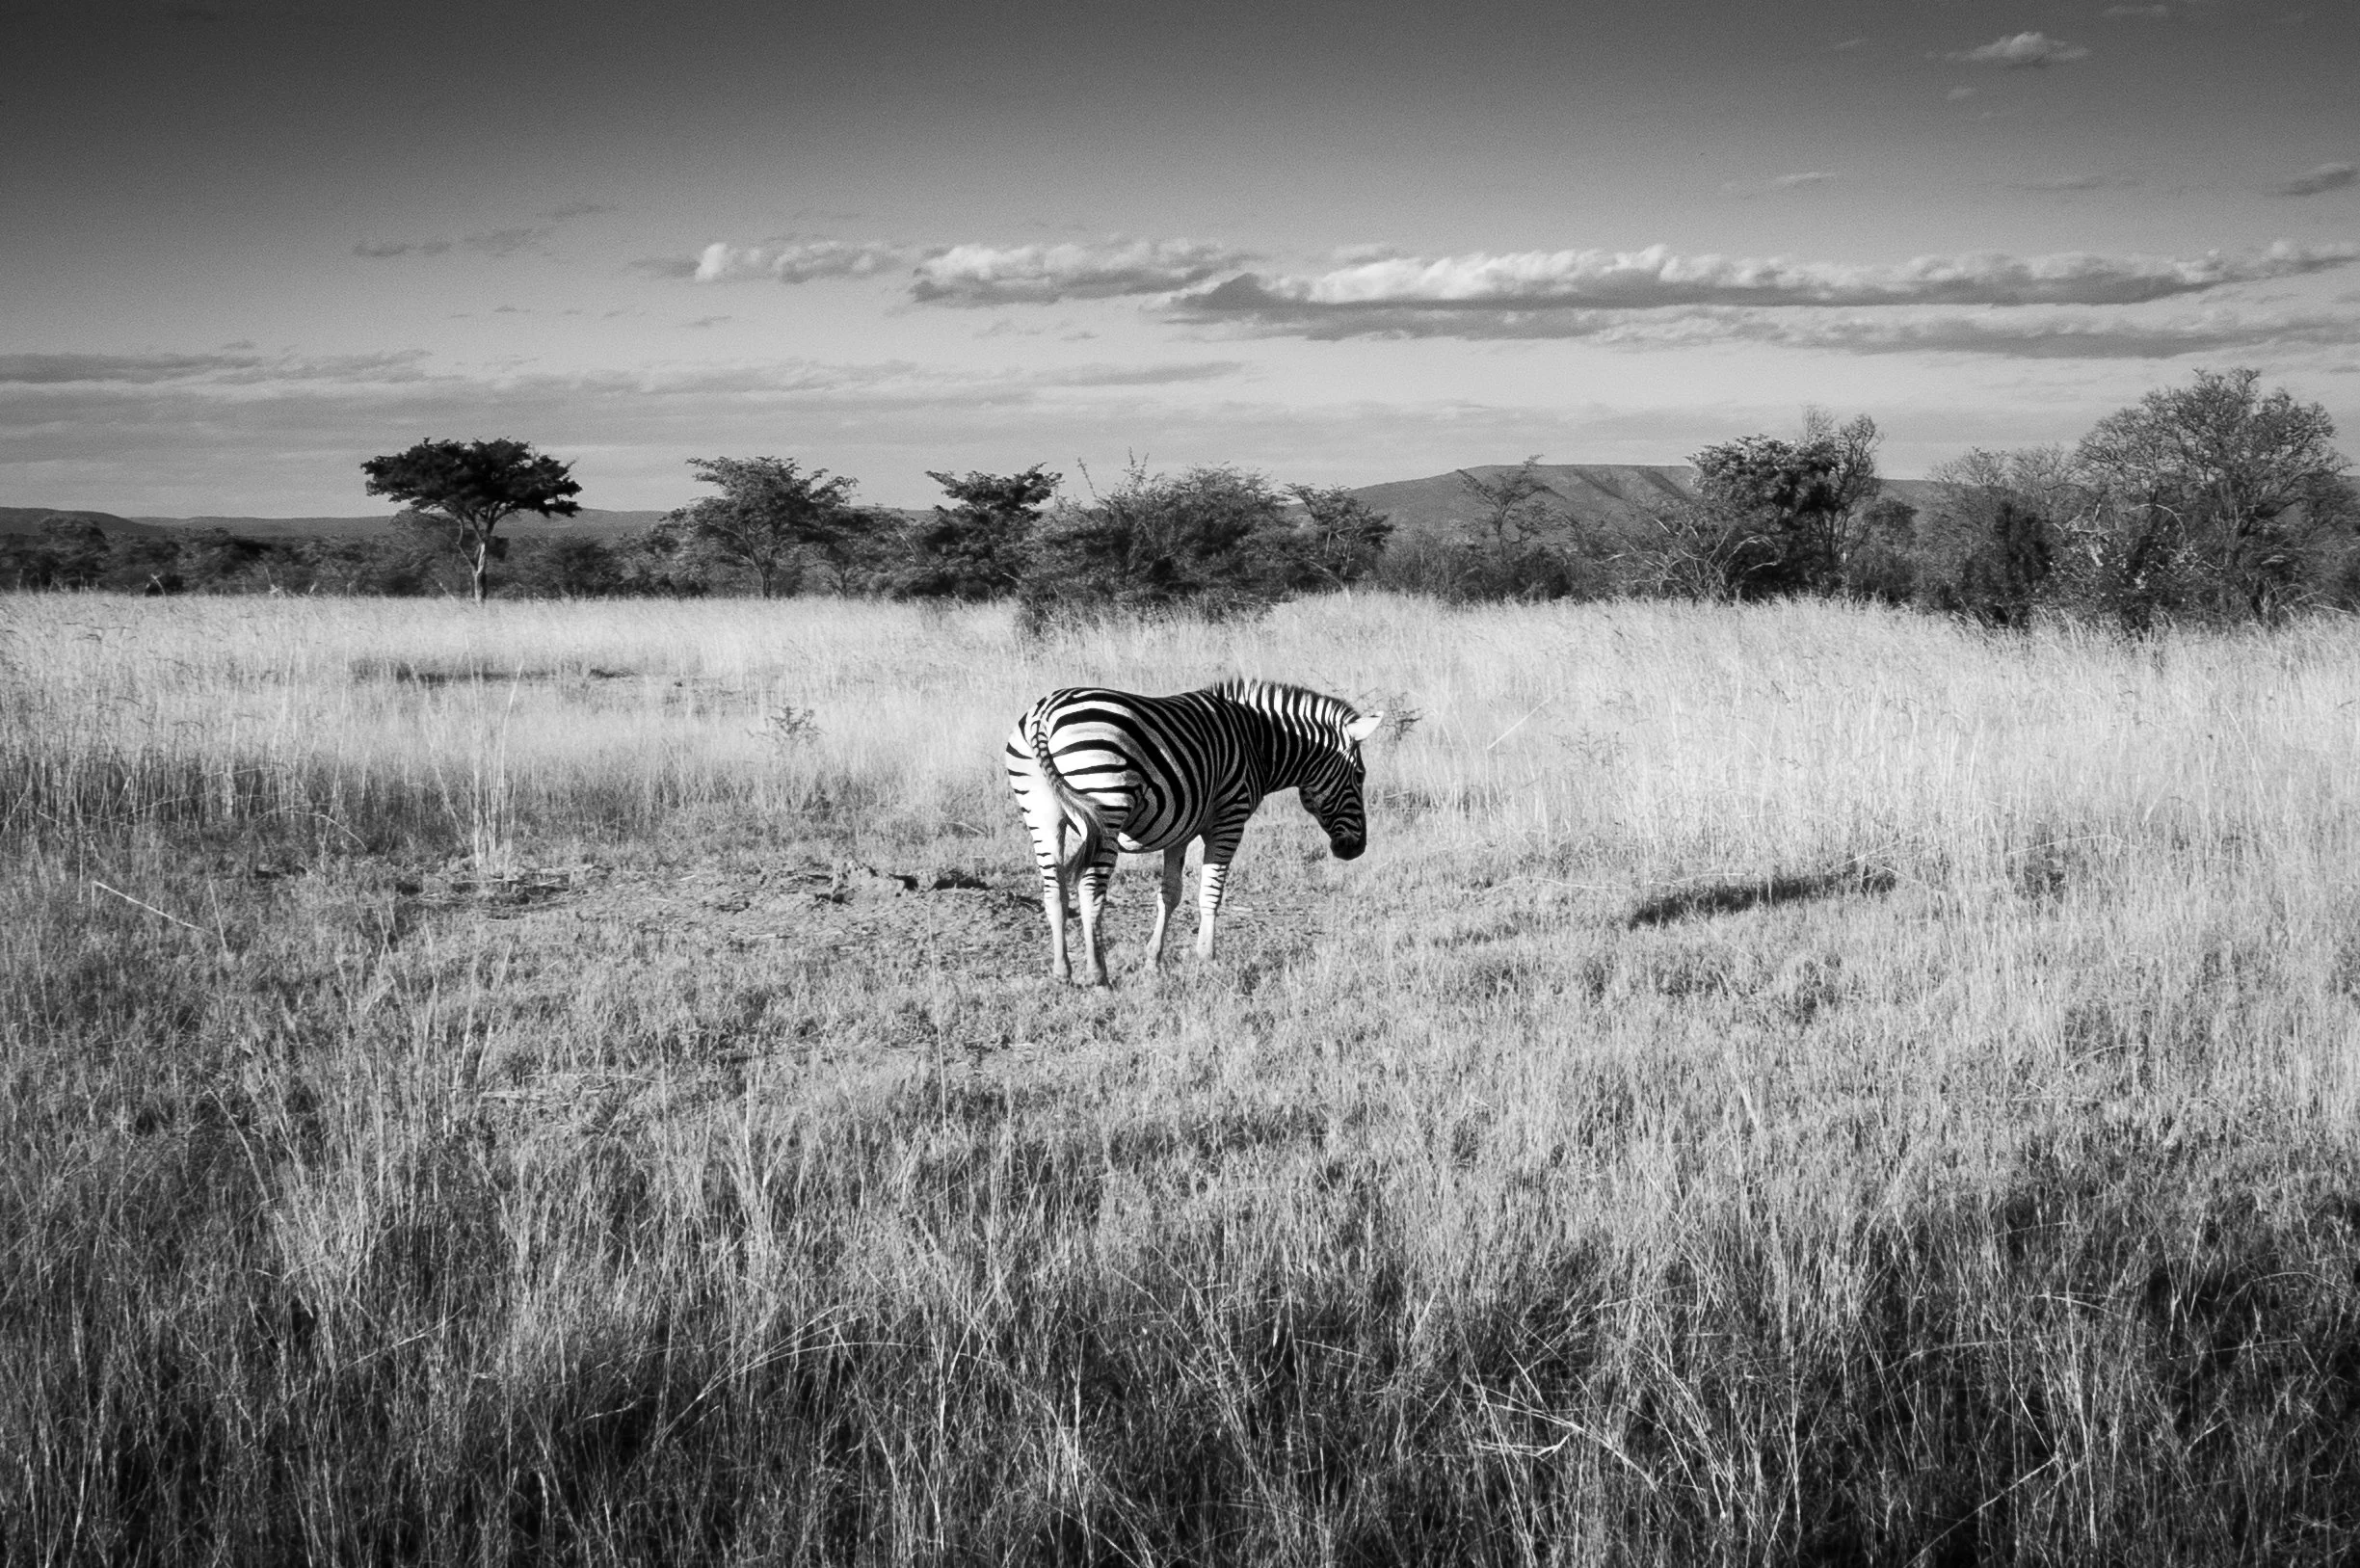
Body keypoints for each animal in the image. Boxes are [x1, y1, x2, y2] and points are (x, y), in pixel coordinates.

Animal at [1004, 679, 1384, 985]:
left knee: (1054, 890)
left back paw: (1062, 972)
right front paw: (1207, 959)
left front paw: (1153, 961)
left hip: (1043, 813)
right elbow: (1211, 893)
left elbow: (1170, 894)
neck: (1256, 742)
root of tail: (1044, 714)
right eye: (1360, 776)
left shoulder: (1181, 828)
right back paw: (1098, 975)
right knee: (1089, 890)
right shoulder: (1229, 820)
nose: (1356, 849)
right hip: (1106, 805)